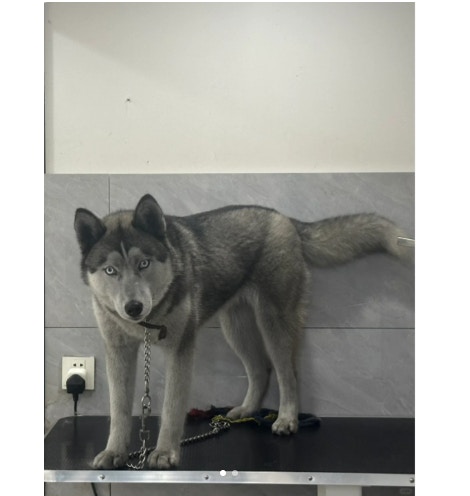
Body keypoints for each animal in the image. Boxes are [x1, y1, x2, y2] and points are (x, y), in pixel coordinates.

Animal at [74, 193, 411, 470]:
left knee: (288, 374)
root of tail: (284, 219)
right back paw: (248, 409)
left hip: (273, 323)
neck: (147, 322)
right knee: (261, 370)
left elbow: (171, 408)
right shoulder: (118, 353)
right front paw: (114, 452)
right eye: (110, 270)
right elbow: (118, 410)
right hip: (235, 328)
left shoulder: (181, 350)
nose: (133, 307)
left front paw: (166, 453)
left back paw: (287, 419)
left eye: (143, 263)